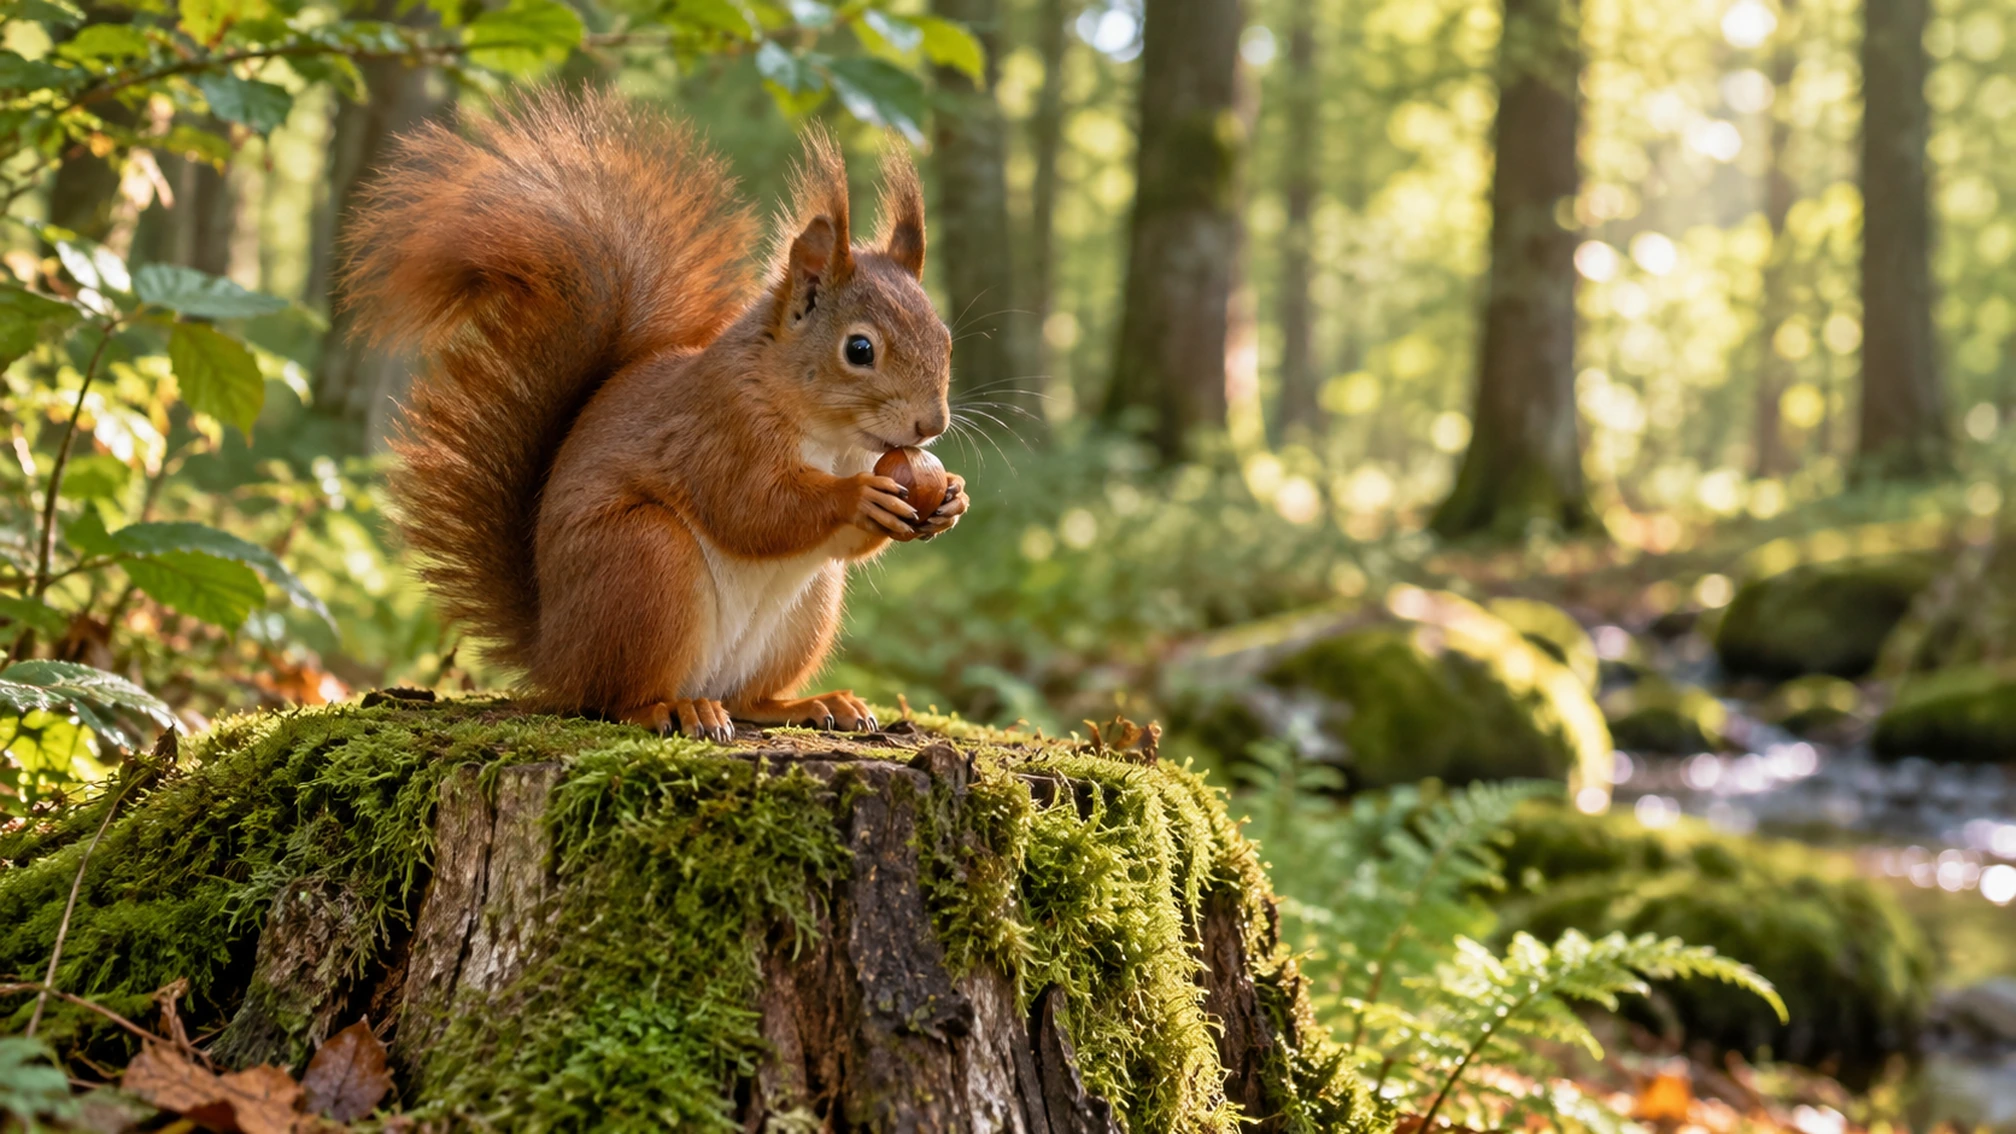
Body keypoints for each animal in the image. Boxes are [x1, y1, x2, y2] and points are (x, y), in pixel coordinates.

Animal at [343, 91, 965, 740]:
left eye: (945, 339)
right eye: (860, 349)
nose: (932, 426)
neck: (832, 439)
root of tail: (553, 657)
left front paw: (951, 497)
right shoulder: (718, 427)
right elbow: (752, 509)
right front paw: (858, 497)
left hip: (806, 609)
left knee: (747, 696)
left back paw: (811, 704)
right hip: (645, 561)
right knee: (616, 697)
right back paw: (671, 708)